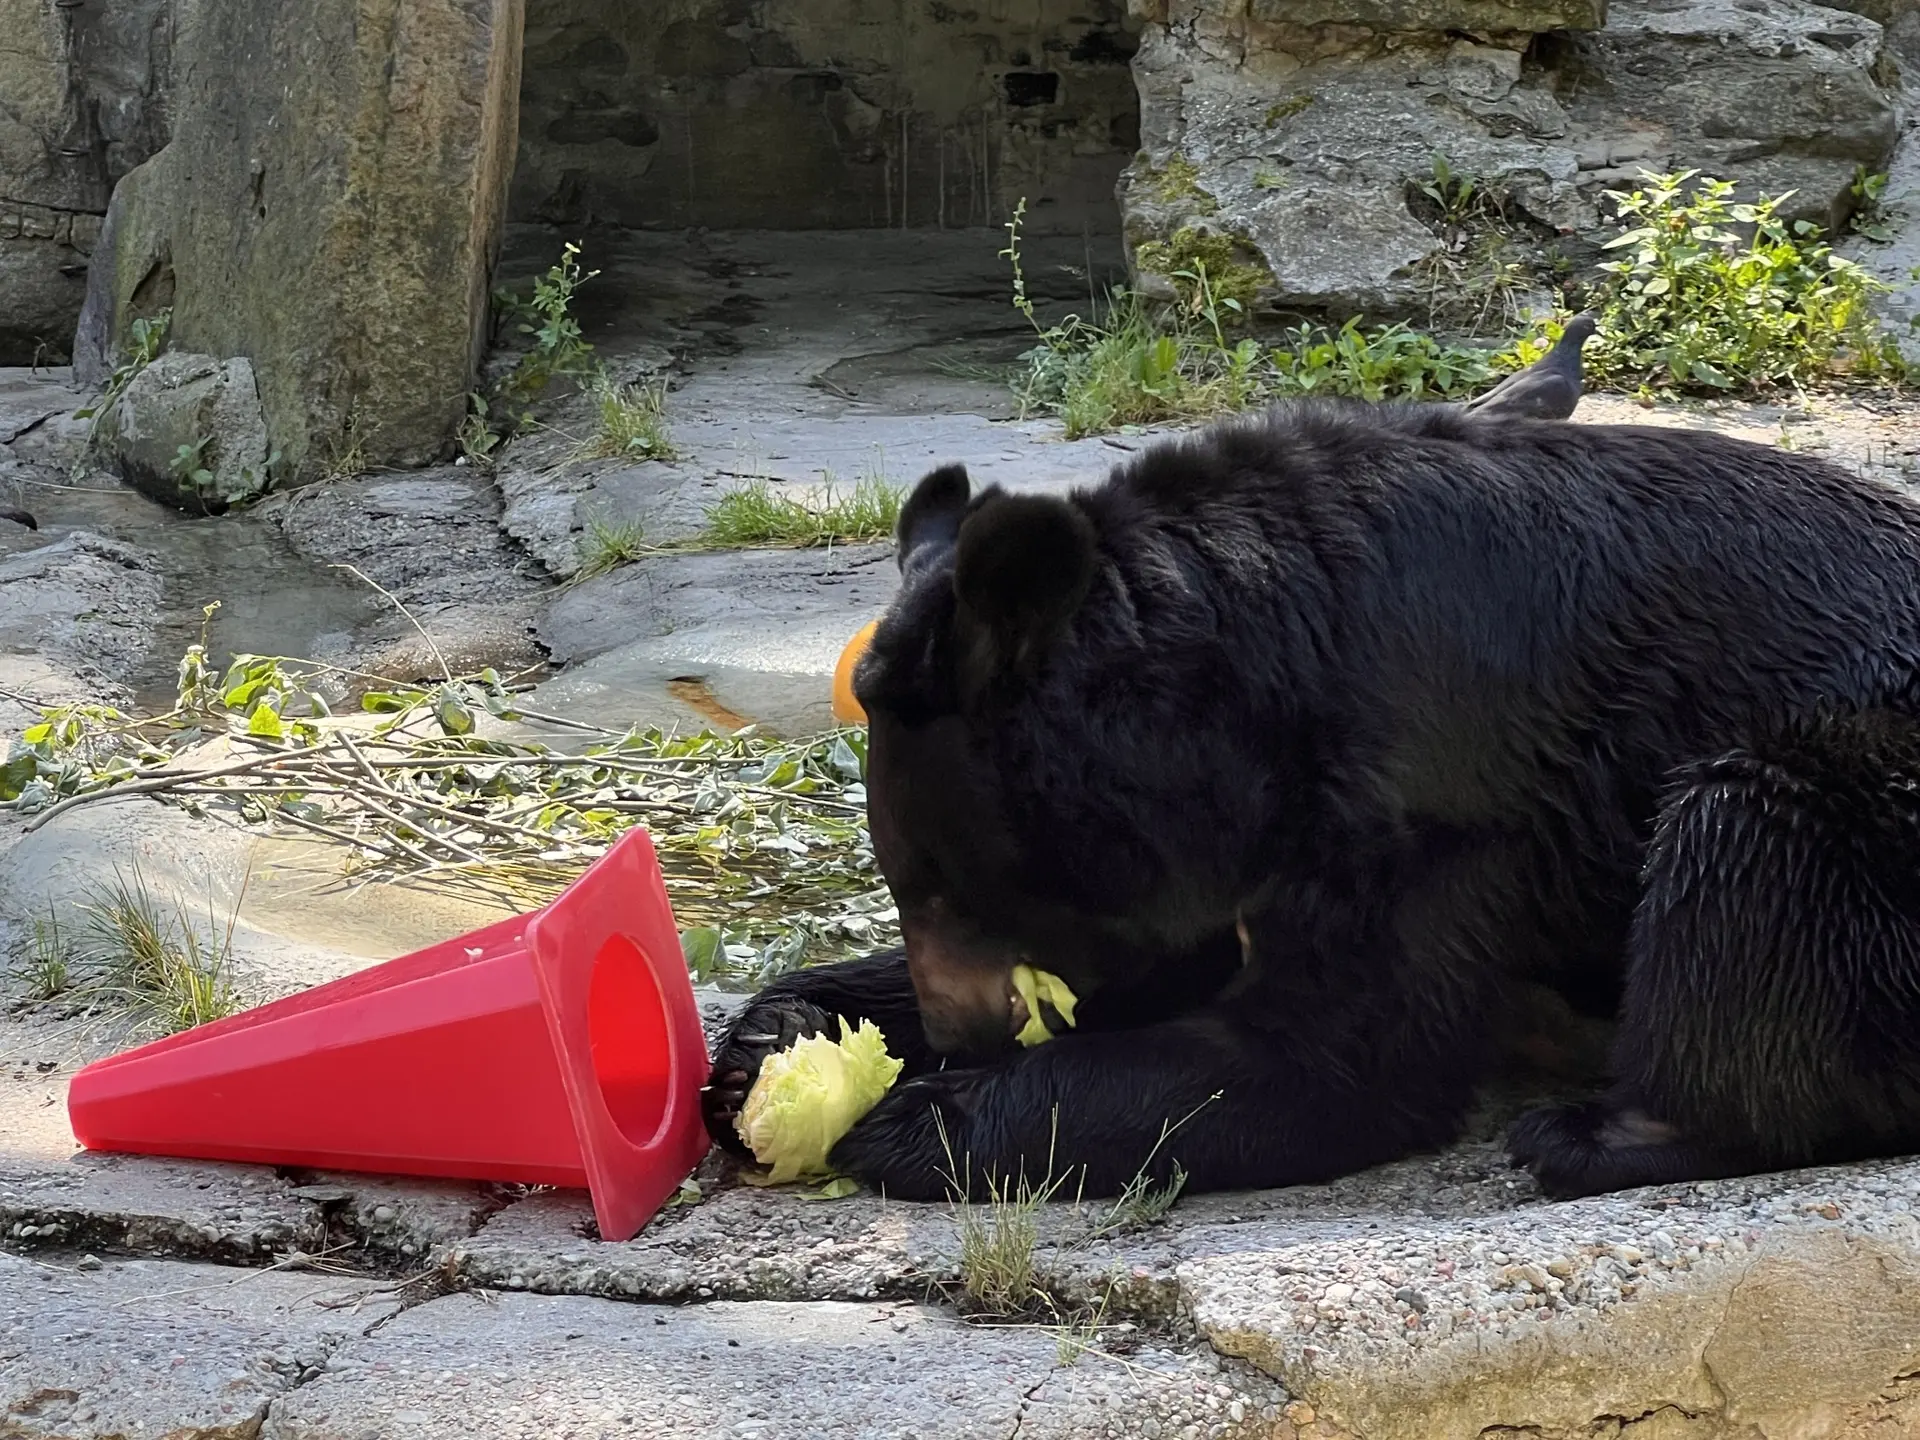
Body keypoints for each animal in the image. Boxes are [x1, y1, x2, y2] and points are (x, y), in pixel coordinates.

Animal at [702, 398, 1920, 1203]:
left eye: (946, 883)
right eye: (911, 885)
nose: (967, 1032)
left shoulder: (1435, 793)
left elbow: (1340, 1053)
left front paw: (917, 1117)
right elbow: (1181, 967)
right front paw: (778, 1041)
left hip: (1866, 801)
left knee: (1747, 839)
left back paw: (1599, 1129)